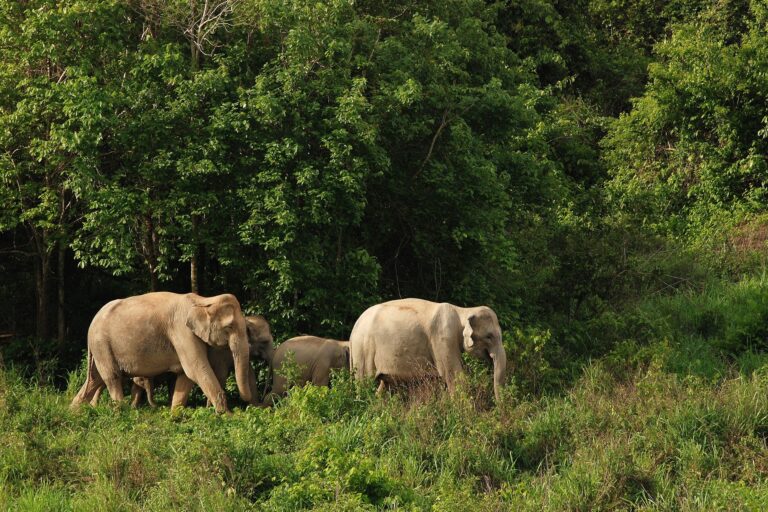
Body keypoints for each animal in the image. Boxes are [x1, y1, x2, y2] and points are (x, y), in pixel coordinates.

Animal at [70, 292, 254, 412]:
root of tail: (92, 322)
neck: (203, 300)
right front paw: (228, 416)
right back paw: (121, 412)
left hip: (100, 347)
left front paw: (175, 416)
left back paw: (73, 411)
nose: (247, 403)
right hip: (101, 344)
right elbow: (196, 370)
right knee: (112, 377)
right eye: (229, 327)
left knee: (95, 379)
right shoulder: (181, 332)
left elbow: (186, 376)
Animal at [350, 298, 508, 402]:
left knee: (384, 385)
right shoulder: (443, 339)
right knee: (364, 383)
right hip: (363, 350)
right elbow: (454, 376)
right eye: (489, 336)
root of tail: (353, 330)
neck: (464, 311)